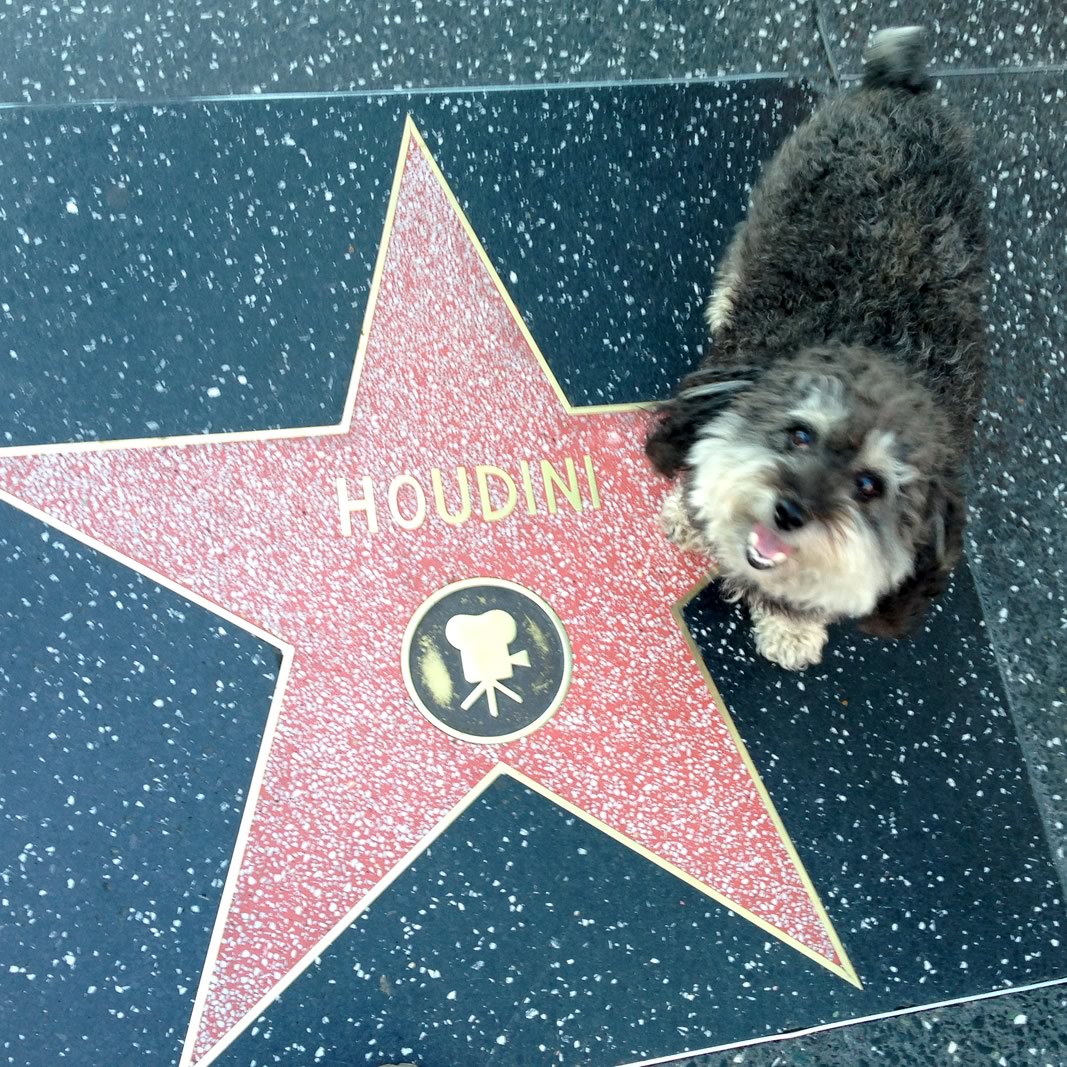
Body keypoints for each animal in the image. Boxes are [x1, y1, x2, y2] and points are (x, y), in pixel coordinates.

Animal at [646, 27, 987, 671]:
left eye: (871, 487)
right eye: (800, 434)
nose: (789, 512)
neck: (887, 350)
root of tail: (901, 91)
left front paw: (791, 627)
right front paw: (689, 516)